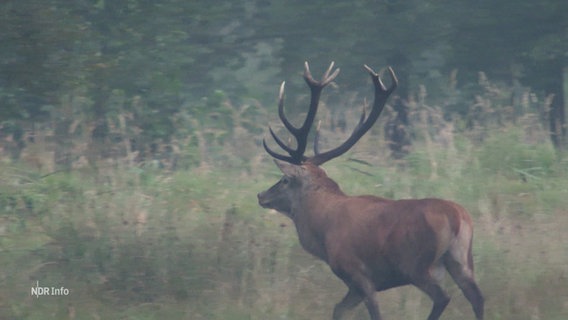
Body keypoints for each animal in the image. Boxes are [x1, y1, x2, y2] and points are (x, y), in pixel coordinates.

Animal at [258, 62, 484, 320]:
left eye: (285, 179)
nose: (261, 195)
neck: (322, 231)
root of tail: (456, 217)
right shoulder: (358, 285)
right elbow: (338, 310)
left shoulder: (358, 273)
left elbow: (373, 312)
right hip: (462, 259)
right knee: (477, 297)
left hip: (417, 264)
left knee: (443, 297)